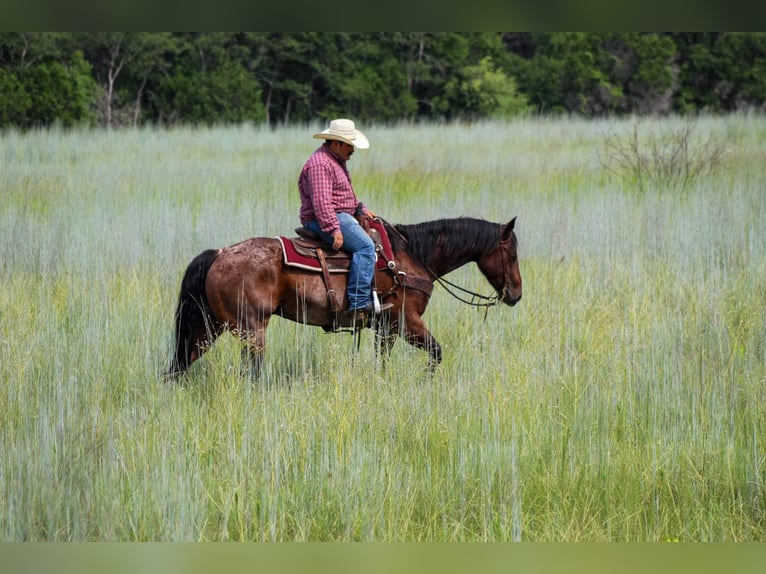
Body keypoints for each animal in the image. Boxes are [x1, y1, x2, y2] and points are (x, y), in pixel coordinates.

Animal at [167, 216, 520, 382]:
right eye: (512, 254)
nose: (516, 294)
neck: (412, 258)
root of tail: (219, 253)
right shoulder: (406, 322)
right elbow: (436, 352)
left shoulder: (385, 328)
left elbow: (382, 361)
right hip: (250, 330)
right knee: (249, 372)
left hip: (208, 327)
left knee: (180, 365)